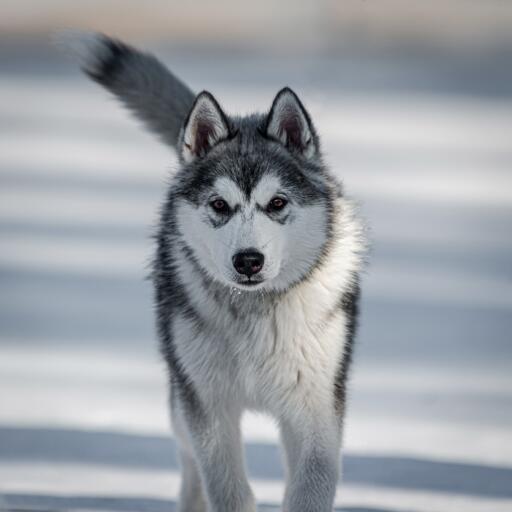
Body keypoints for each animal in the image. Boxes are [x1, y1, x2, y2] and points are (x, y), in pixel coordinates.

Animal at [66, 33, 366, 512]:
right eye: (219, 205)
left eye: (277, 203)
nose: (248, 260)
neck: (255, 313)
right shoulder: (207, 407)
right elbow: (228, 489)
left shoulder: (315, 409)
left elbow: (309, 486)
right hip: (180, 396)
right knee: (188, 464)